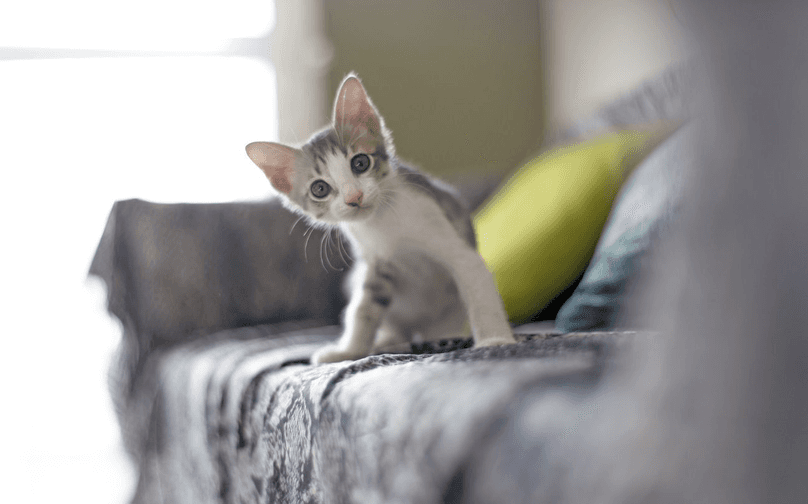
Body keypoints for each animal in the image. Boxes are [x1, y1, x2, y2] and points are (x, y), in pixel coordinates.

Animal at [243, 74, 516, 362]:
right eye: (319, 189)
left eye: (360, 163)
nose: (354, 197)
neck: (383, 223)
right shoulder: (374, 262)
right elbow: (364, 309)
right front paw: (349, 351)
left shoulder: (454, 243)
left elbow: (478, 289)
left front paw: (495, 340)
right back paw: (389, 339)